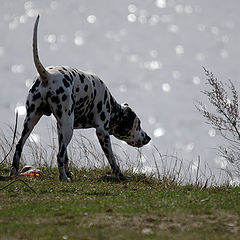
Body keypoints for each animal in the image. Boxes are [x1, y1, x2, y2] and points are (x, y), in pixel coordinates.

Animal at [10, 15, 150, 181]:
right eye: (138, 124)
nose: (148, 137)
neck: (110, 104)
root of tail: (47, 76)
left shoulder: (60, 129)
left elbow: (66, 158)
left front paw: (69, 171)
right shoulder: (102, 132)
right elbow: (112, 160)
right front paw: (121, 176)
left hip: (33, 120)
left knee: (19, 146)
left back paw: (14, 174)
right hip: (67, 127)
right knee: (58, 155)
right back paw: (64, 179)